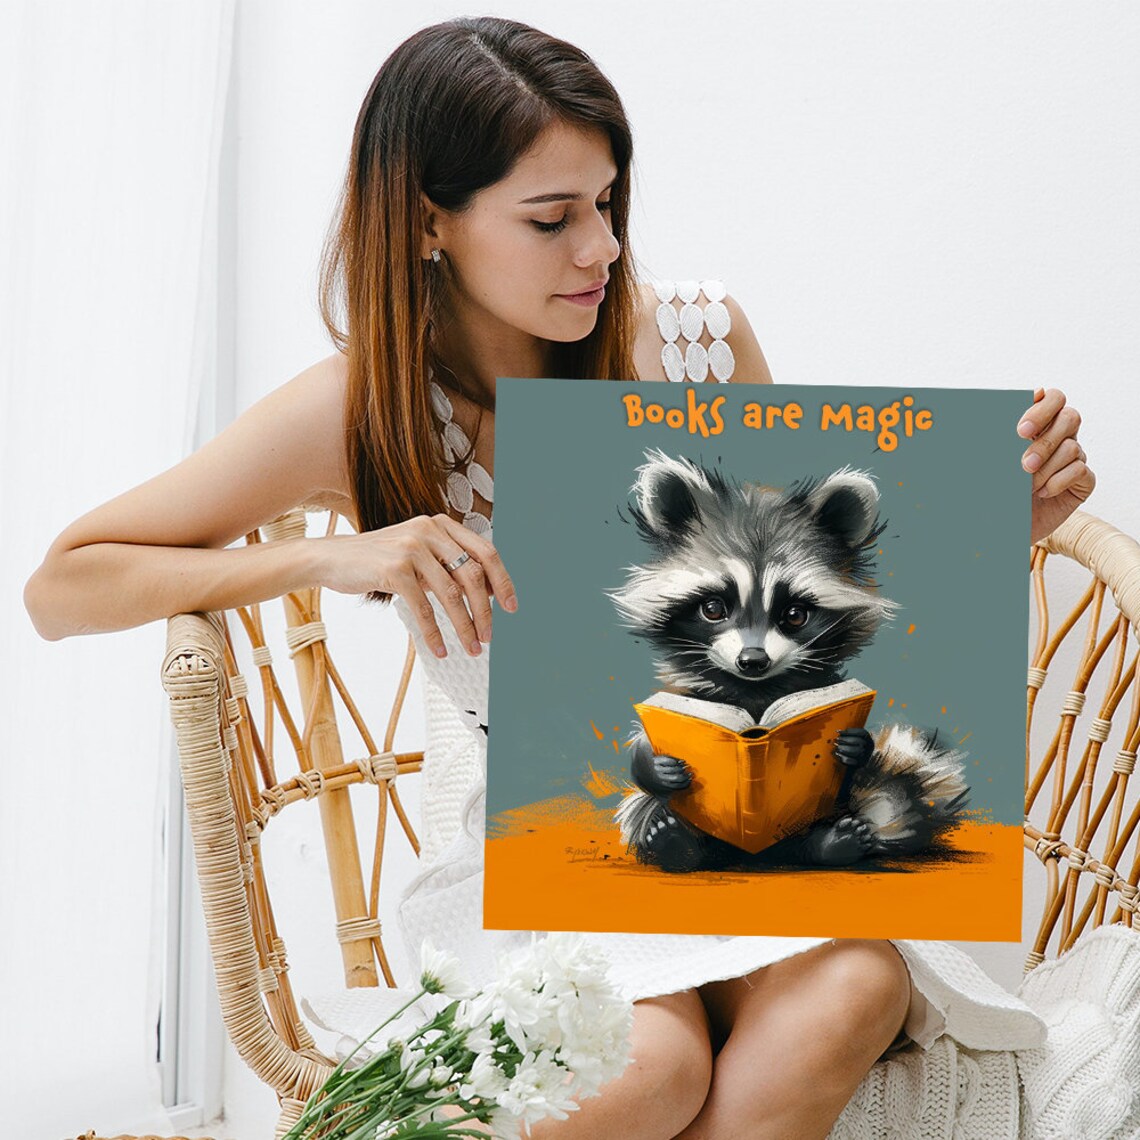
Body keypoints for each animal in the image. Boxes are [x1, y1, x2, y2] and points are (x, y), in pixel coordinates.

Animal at [608, 449, 969, 874]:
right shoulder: (690, 694)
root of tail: (759, 854)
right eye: (713, 608)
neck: (756, 690)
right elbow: (647, 744)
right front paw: (650, 763)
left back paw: (830, 844)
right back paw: (673, 841)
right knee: (645, 811)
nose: (752, 660)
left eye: (795, 615)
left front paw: (857, 748)